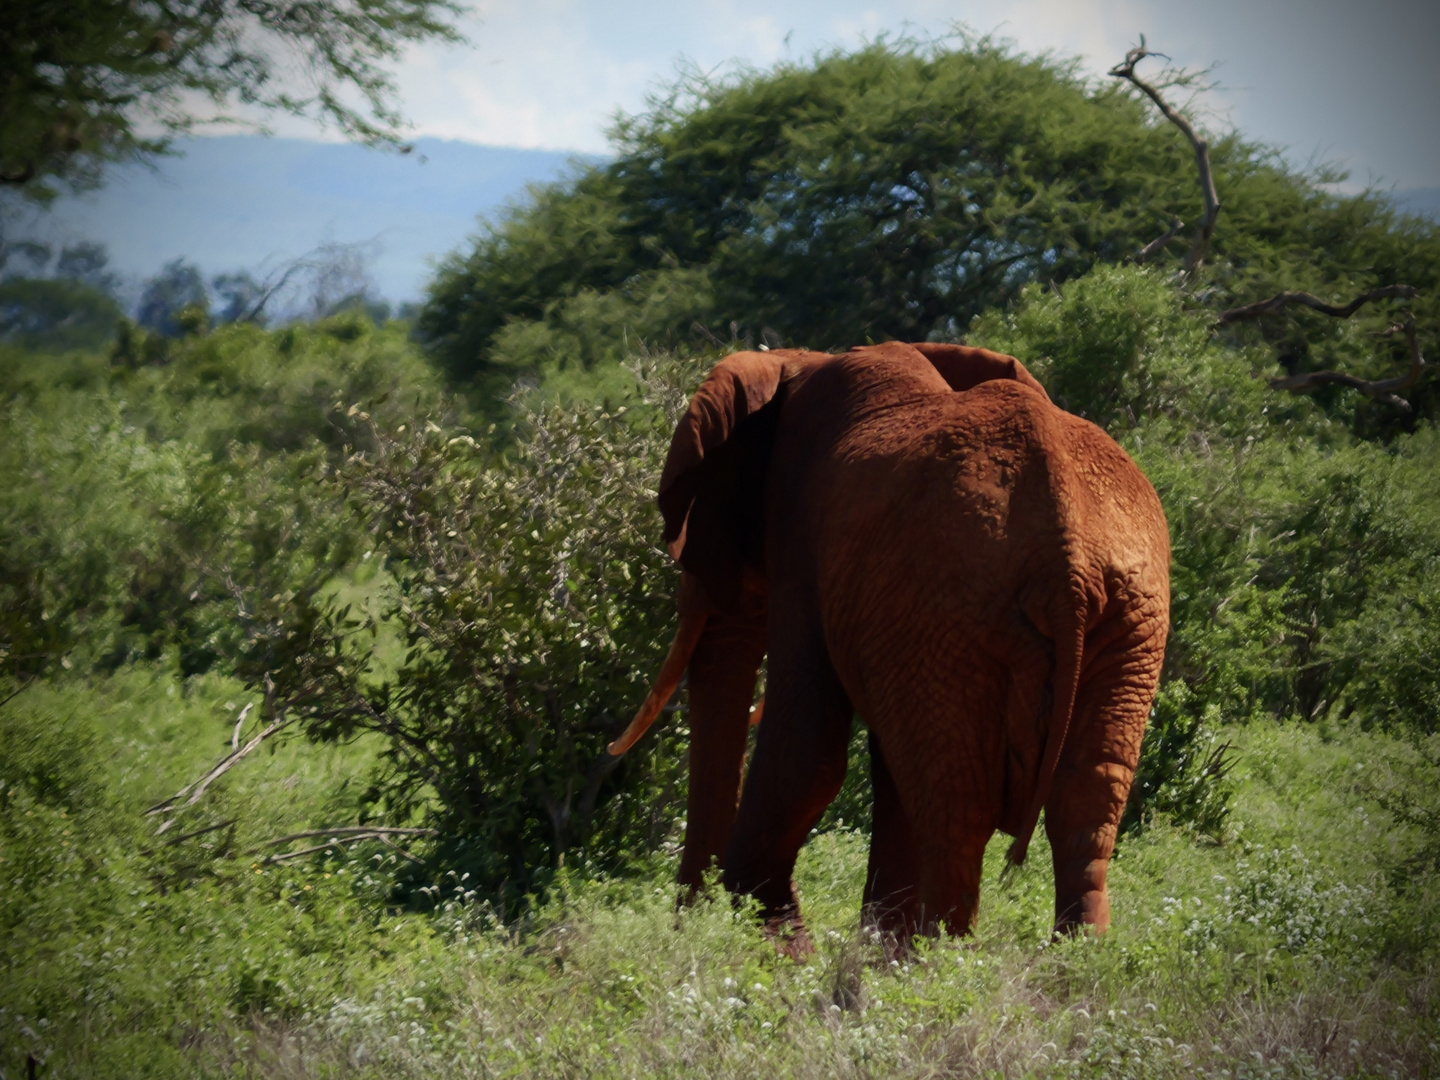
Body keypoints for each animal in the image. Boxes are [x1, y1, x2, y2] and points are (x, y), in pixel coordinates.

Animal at [604, 342, 1169, 950]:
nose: (689, 928)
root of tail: (1066, 556)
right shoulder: (889, 617)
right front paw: (859, 950)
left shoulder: (804, 540)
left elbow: (807, 746)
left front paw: (784, 948)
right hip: (1124, 617)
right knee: (1086, 799)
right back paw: (1076, 960)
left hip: (952, 603)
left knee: (955, 810)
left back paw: (942, 963)